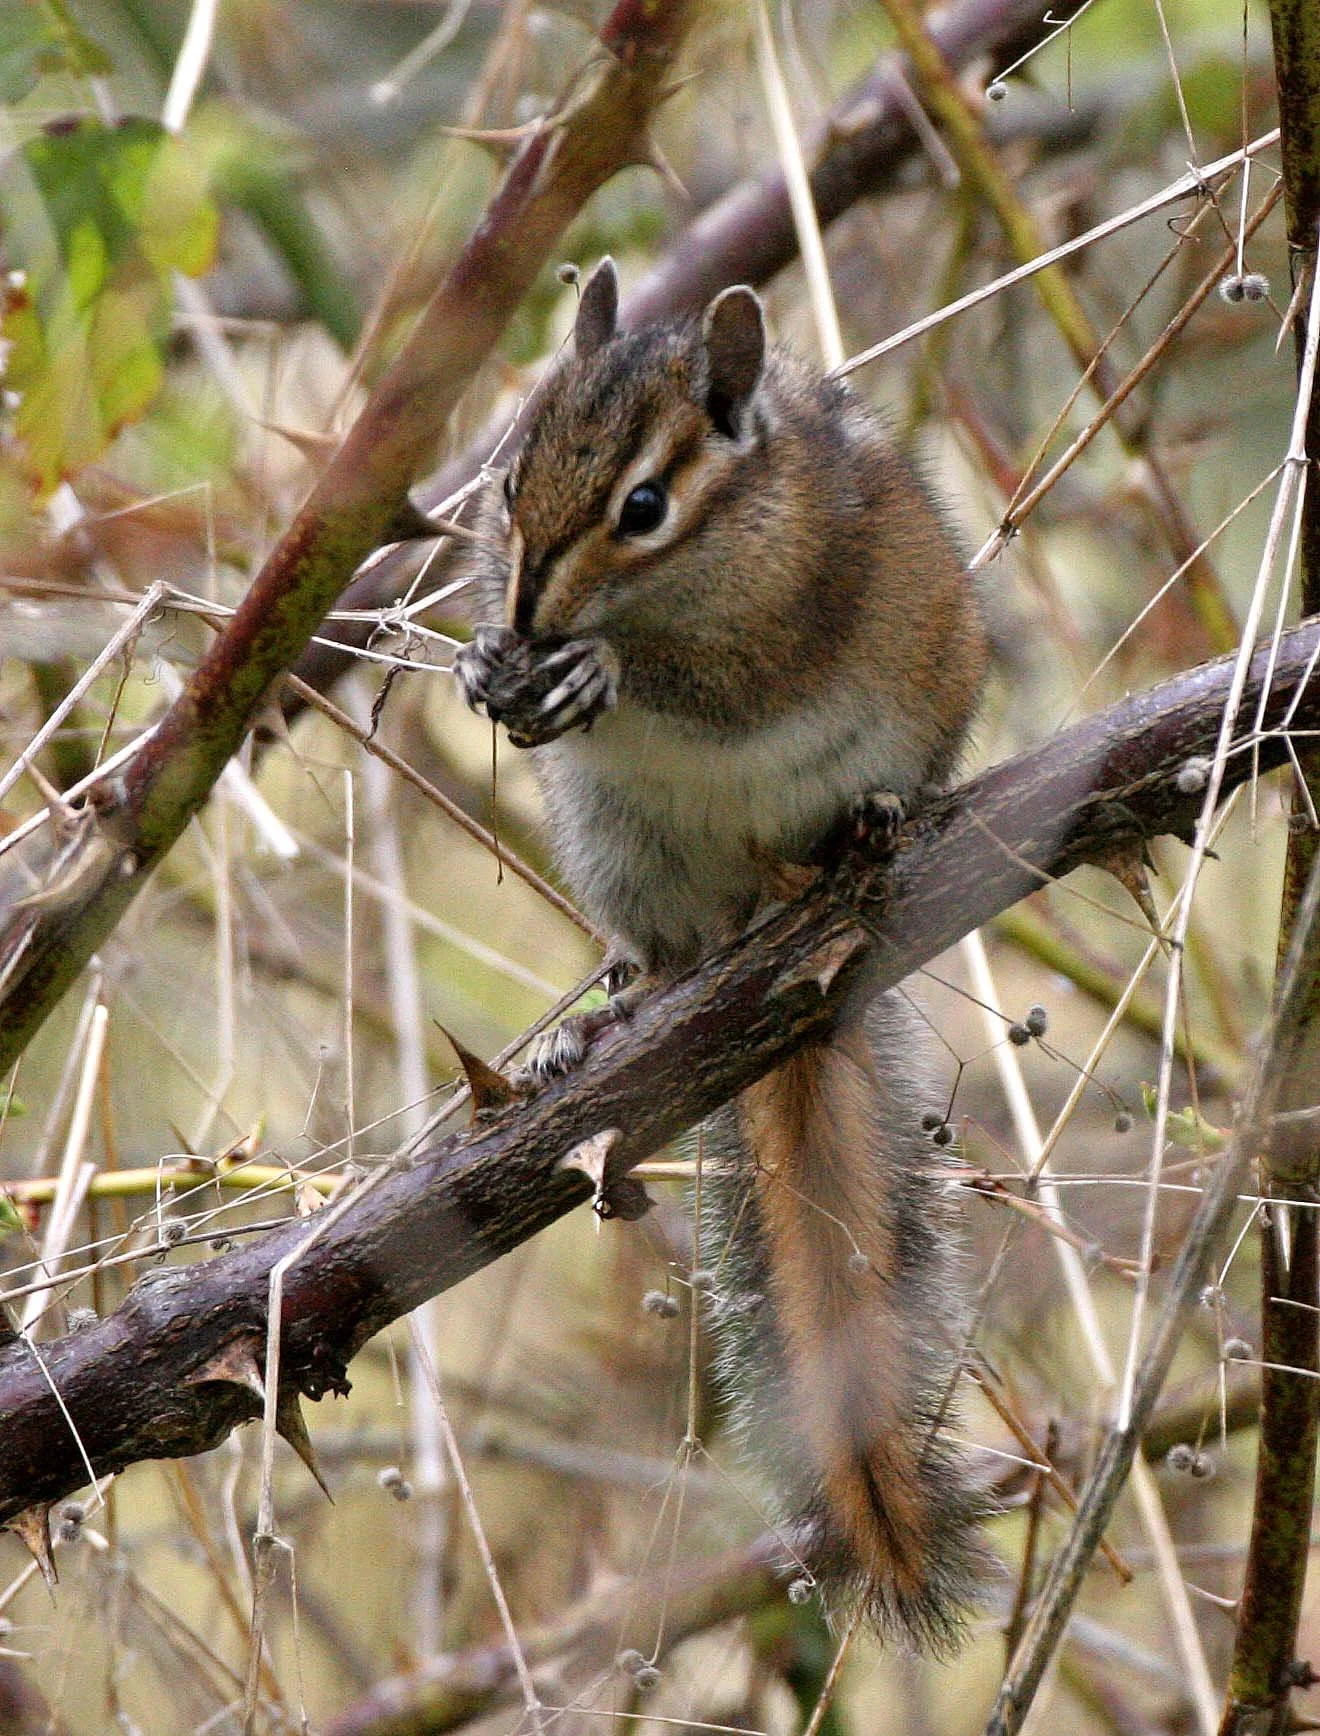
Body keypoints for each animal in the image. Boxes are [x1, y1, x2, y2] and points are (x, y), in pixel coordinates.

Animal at [454, 257, 989, 1648]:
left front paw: (595, 666)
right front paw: (483, 661)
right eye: (507, 475)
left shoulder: (778, 618)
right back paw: (597, 1025)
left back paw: (870, 820)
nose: (524, 610)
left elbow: (712, 680)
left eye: (644, 506)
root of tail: (769, 915)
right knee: (664, 951)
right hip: (628, 853)